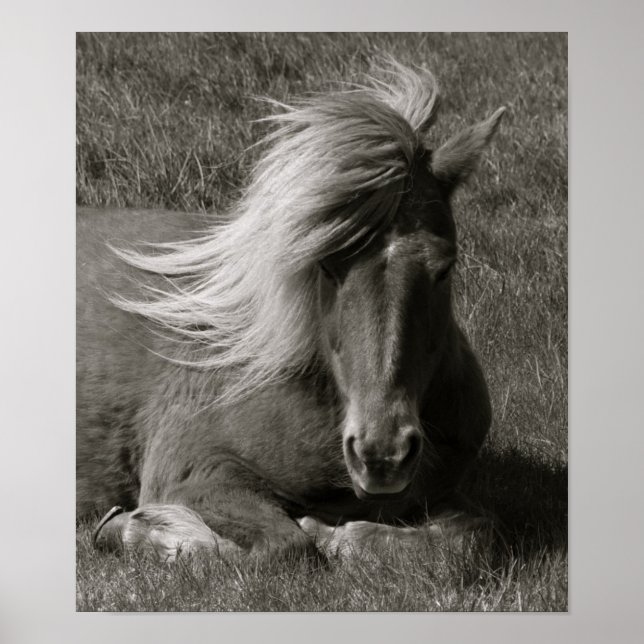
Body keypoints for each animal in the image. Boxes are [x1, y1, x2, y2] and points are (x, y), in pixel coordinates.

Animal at [77, 61, 505, 561]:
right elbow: (285, 543)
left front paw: (344, 535)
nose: (383, 456)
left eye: (444, 268)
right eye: (326, 265)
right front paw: (139, 529)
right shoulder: (197, 471)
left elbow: (473, 533)